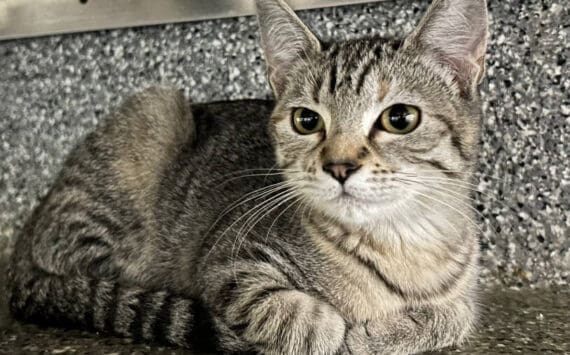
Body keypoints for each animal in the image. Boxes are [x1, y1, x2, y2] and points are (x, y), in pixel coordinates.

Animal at [7, 0, 488, 354]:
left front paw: (388, 332)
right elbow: (287, 312)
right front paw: (335, 328)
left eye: (400, 118)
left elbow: (456, 315)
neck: (400, 244)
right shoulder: (226, 262)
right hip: (154, 112)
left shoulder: (461, 294)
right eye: (306, 121)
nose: (339, 166)